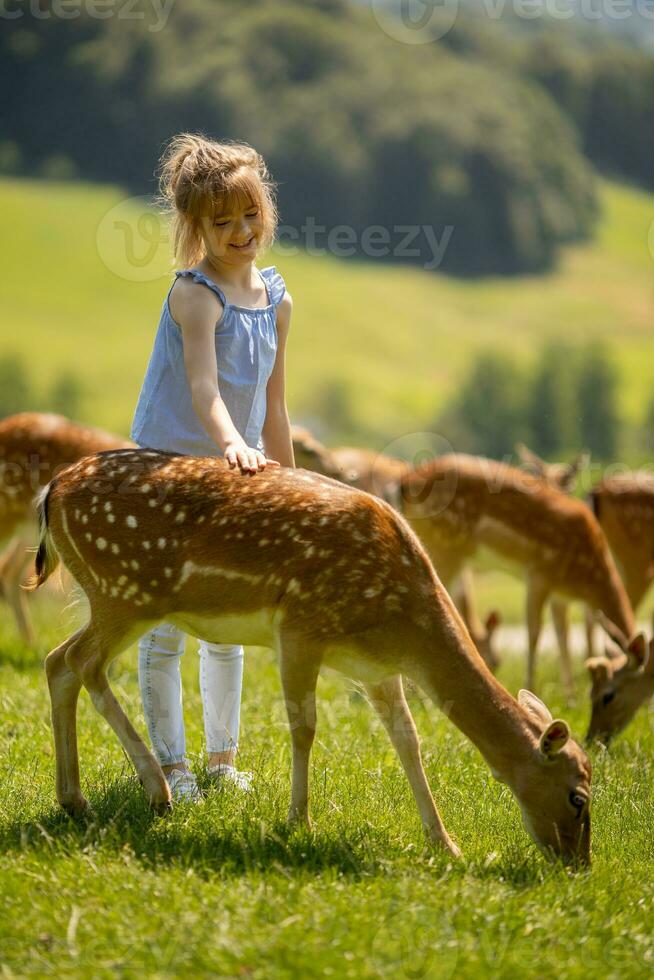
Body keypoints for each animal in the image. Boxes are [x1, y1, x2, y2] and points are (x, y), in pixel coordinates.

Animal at [398, 456, 640, 692]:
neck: (589, 578)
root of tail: (406, 482)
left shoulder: (559, 594)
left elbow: (564, 636)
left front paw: (569, 696)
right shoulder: (539, 573)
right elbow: (534, 633)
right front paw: (532, 689)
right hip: (445, 548)